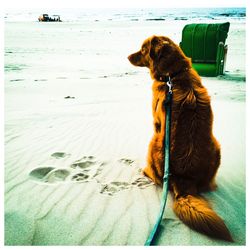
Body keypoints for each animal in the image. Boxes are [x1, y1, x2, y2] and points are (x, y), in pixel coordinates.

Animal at [128, 35, 233, 242]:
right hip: (217, 147)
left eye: (143, 49)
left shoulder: (157, 124)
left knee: (156, 177)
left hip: (154, 142)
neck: (173, 76)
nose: (128, 56)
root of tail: (184, 181)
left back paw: (145, 171)